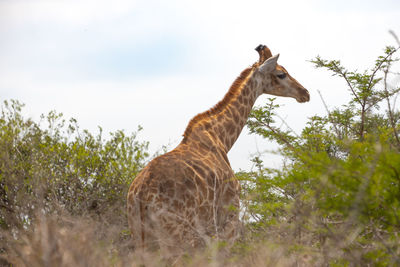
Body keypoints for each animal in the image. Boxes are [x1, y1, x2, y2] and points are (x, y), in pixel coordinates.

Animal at [127, 44, 310, 255]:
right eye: (281, 74)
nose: (305, 93)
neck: (222, 137)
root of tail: (140, 194)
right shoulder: (229, 214)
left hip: (141, 237)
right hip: (176, 235)